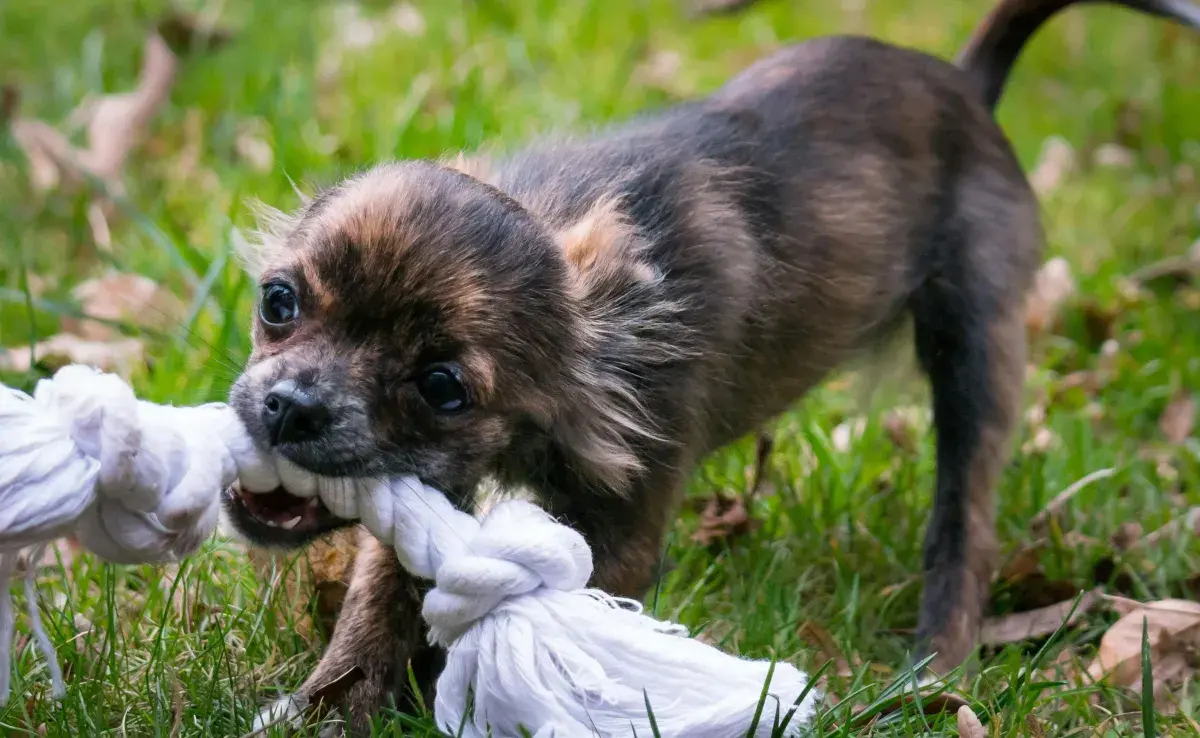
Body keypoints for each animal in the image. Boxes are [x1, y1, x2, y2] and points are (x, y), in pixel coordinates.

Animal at [223, 0, 1200, 729]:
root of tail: (966, 84)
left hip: (977, 346)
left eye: (442, 387)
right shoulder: (434, 492)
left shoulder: (620, 527)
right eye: (279, 302)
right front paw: (330, 710)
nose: (290, 407)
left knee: (965, 521)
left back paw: (932, 666)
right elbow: (377, 604)